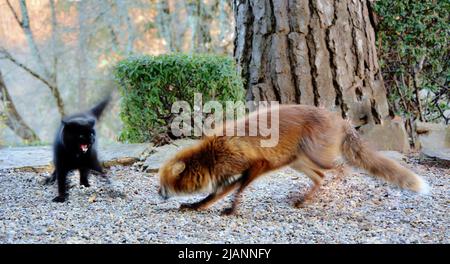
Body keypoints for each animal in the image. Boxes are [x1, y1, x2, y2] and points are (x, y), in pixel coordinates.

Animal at [158, 104, 428, 216]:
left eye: (162, 185)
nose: (158, 195)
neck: (212, 154)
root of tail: (340, 119)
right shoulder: (230, 176)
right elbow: (212, 197)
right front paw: (194, 207)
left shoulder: (256, 165)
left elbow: (238, 192)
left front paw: (232, 210)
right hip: (298, 162)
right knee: (320, 177)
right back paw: (303, 200)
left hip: (316, 157)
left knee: (340, 169)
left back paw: (334, 185)